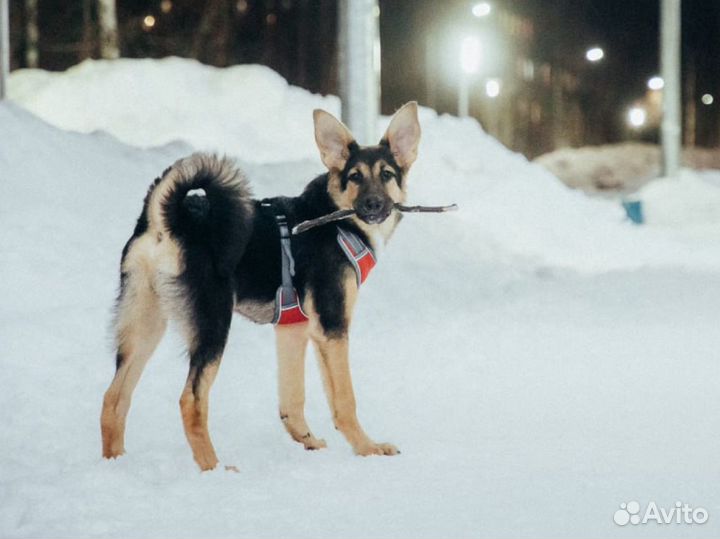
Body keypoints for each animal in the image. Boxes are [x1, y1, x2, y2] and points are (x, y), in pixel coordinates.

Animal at [98, 102, 420, 472]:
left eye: (387, 174)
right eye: (355, 177)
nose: (373, 205)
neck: (335, 218)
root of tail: (165, 219)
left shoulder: (294, 329)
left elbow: (292, 400)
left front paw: (307, 441)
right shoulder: (332, 327)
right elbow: (344, 400)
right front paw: (368, 449)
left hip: (145, 325)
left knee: (114, 398)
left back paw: (114, 465)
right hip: (212, 323)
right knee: (190, 401)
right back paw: (216, 469)